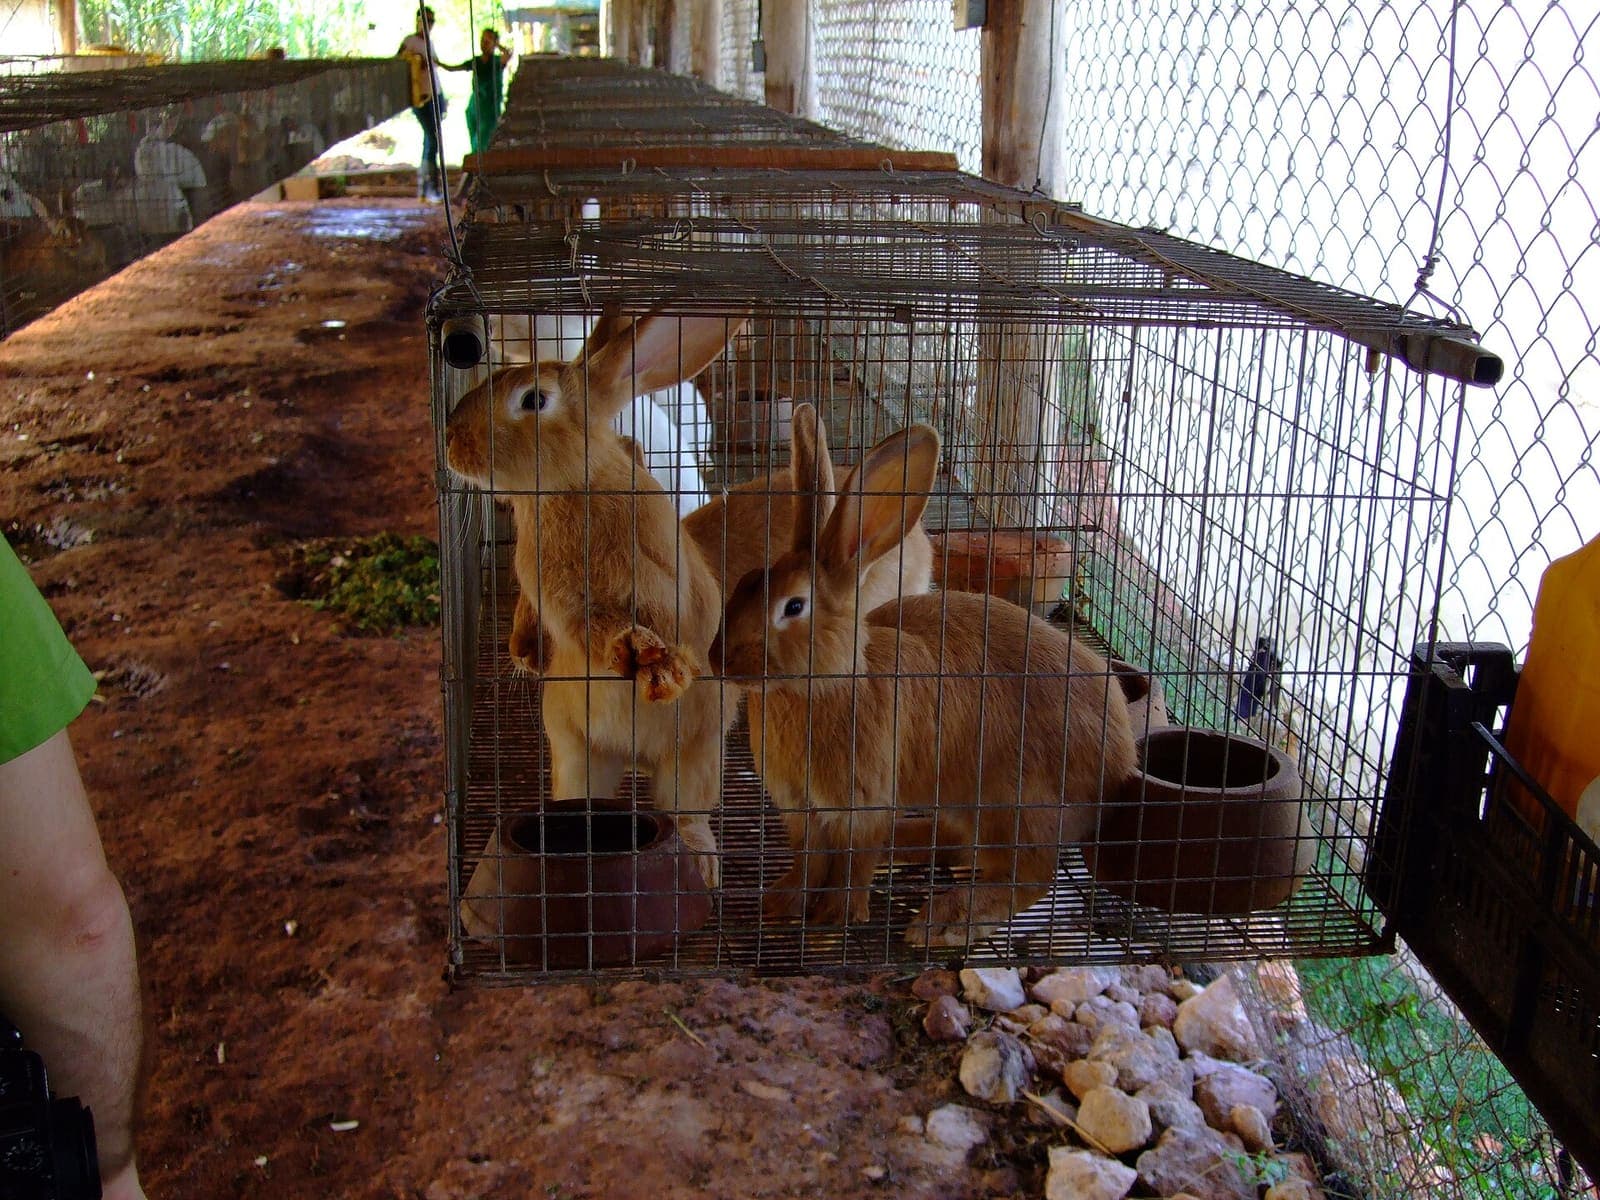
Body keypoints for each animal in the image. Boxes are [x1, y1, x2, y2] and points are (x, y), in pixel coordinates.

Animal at [446, 311, 745, 887]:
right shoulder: (557, 603)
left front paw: (659, 665)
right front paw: (621, 652)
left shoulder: (667, 581)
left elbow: (674, 619)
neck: (571, 486)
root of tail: (633, 757)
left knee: (686, 814)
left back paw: (701, 864)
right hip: (575, 753)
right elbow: (585, 628)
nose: (450, 443)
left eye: (533, 400)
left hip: (695, 756)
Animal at [712, 417, 1138, 946]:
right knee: (965, 847)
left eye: (793, 606)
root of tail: (1120, 756)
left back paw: (944, 920)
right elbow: (809, 860)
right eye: (747, 582)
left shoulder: (865, 804)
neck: (829, 682)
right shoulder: (801, 809)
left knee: (1029, 876)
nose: (717, 660)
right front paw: (782, 903)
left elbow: (853, 868)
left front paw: (834, 921)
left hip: (1018, 803)